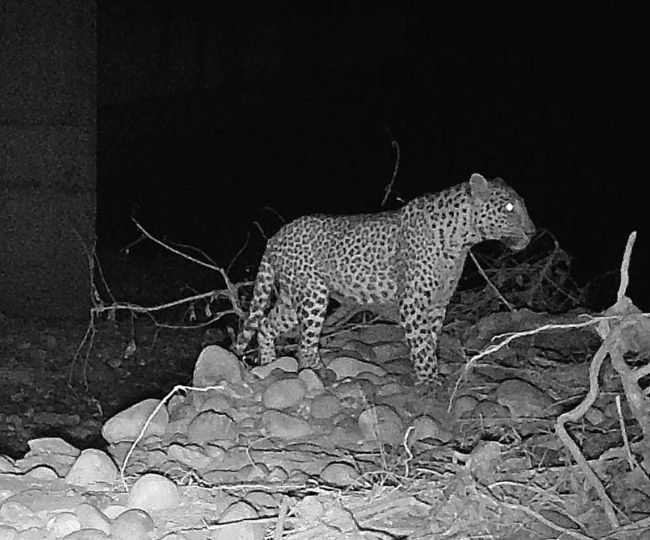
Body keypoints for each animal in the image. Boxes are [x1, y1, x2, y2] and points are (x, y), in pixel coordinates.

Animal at [236, 173, 535, 383]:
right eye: (509, 208)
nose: (532, 231)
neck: (462, 240)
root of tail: (275, 236)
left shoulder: (438, 303)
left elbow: (430, 339)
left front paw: (431, 375)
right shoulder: (413, 302)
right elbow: (421, 343)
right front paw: (429, 382)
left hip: (291, 296)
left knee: (266, 324)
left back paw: (268, 363)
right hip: (313, 294)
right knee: (306, 342)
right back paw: (317, 372)